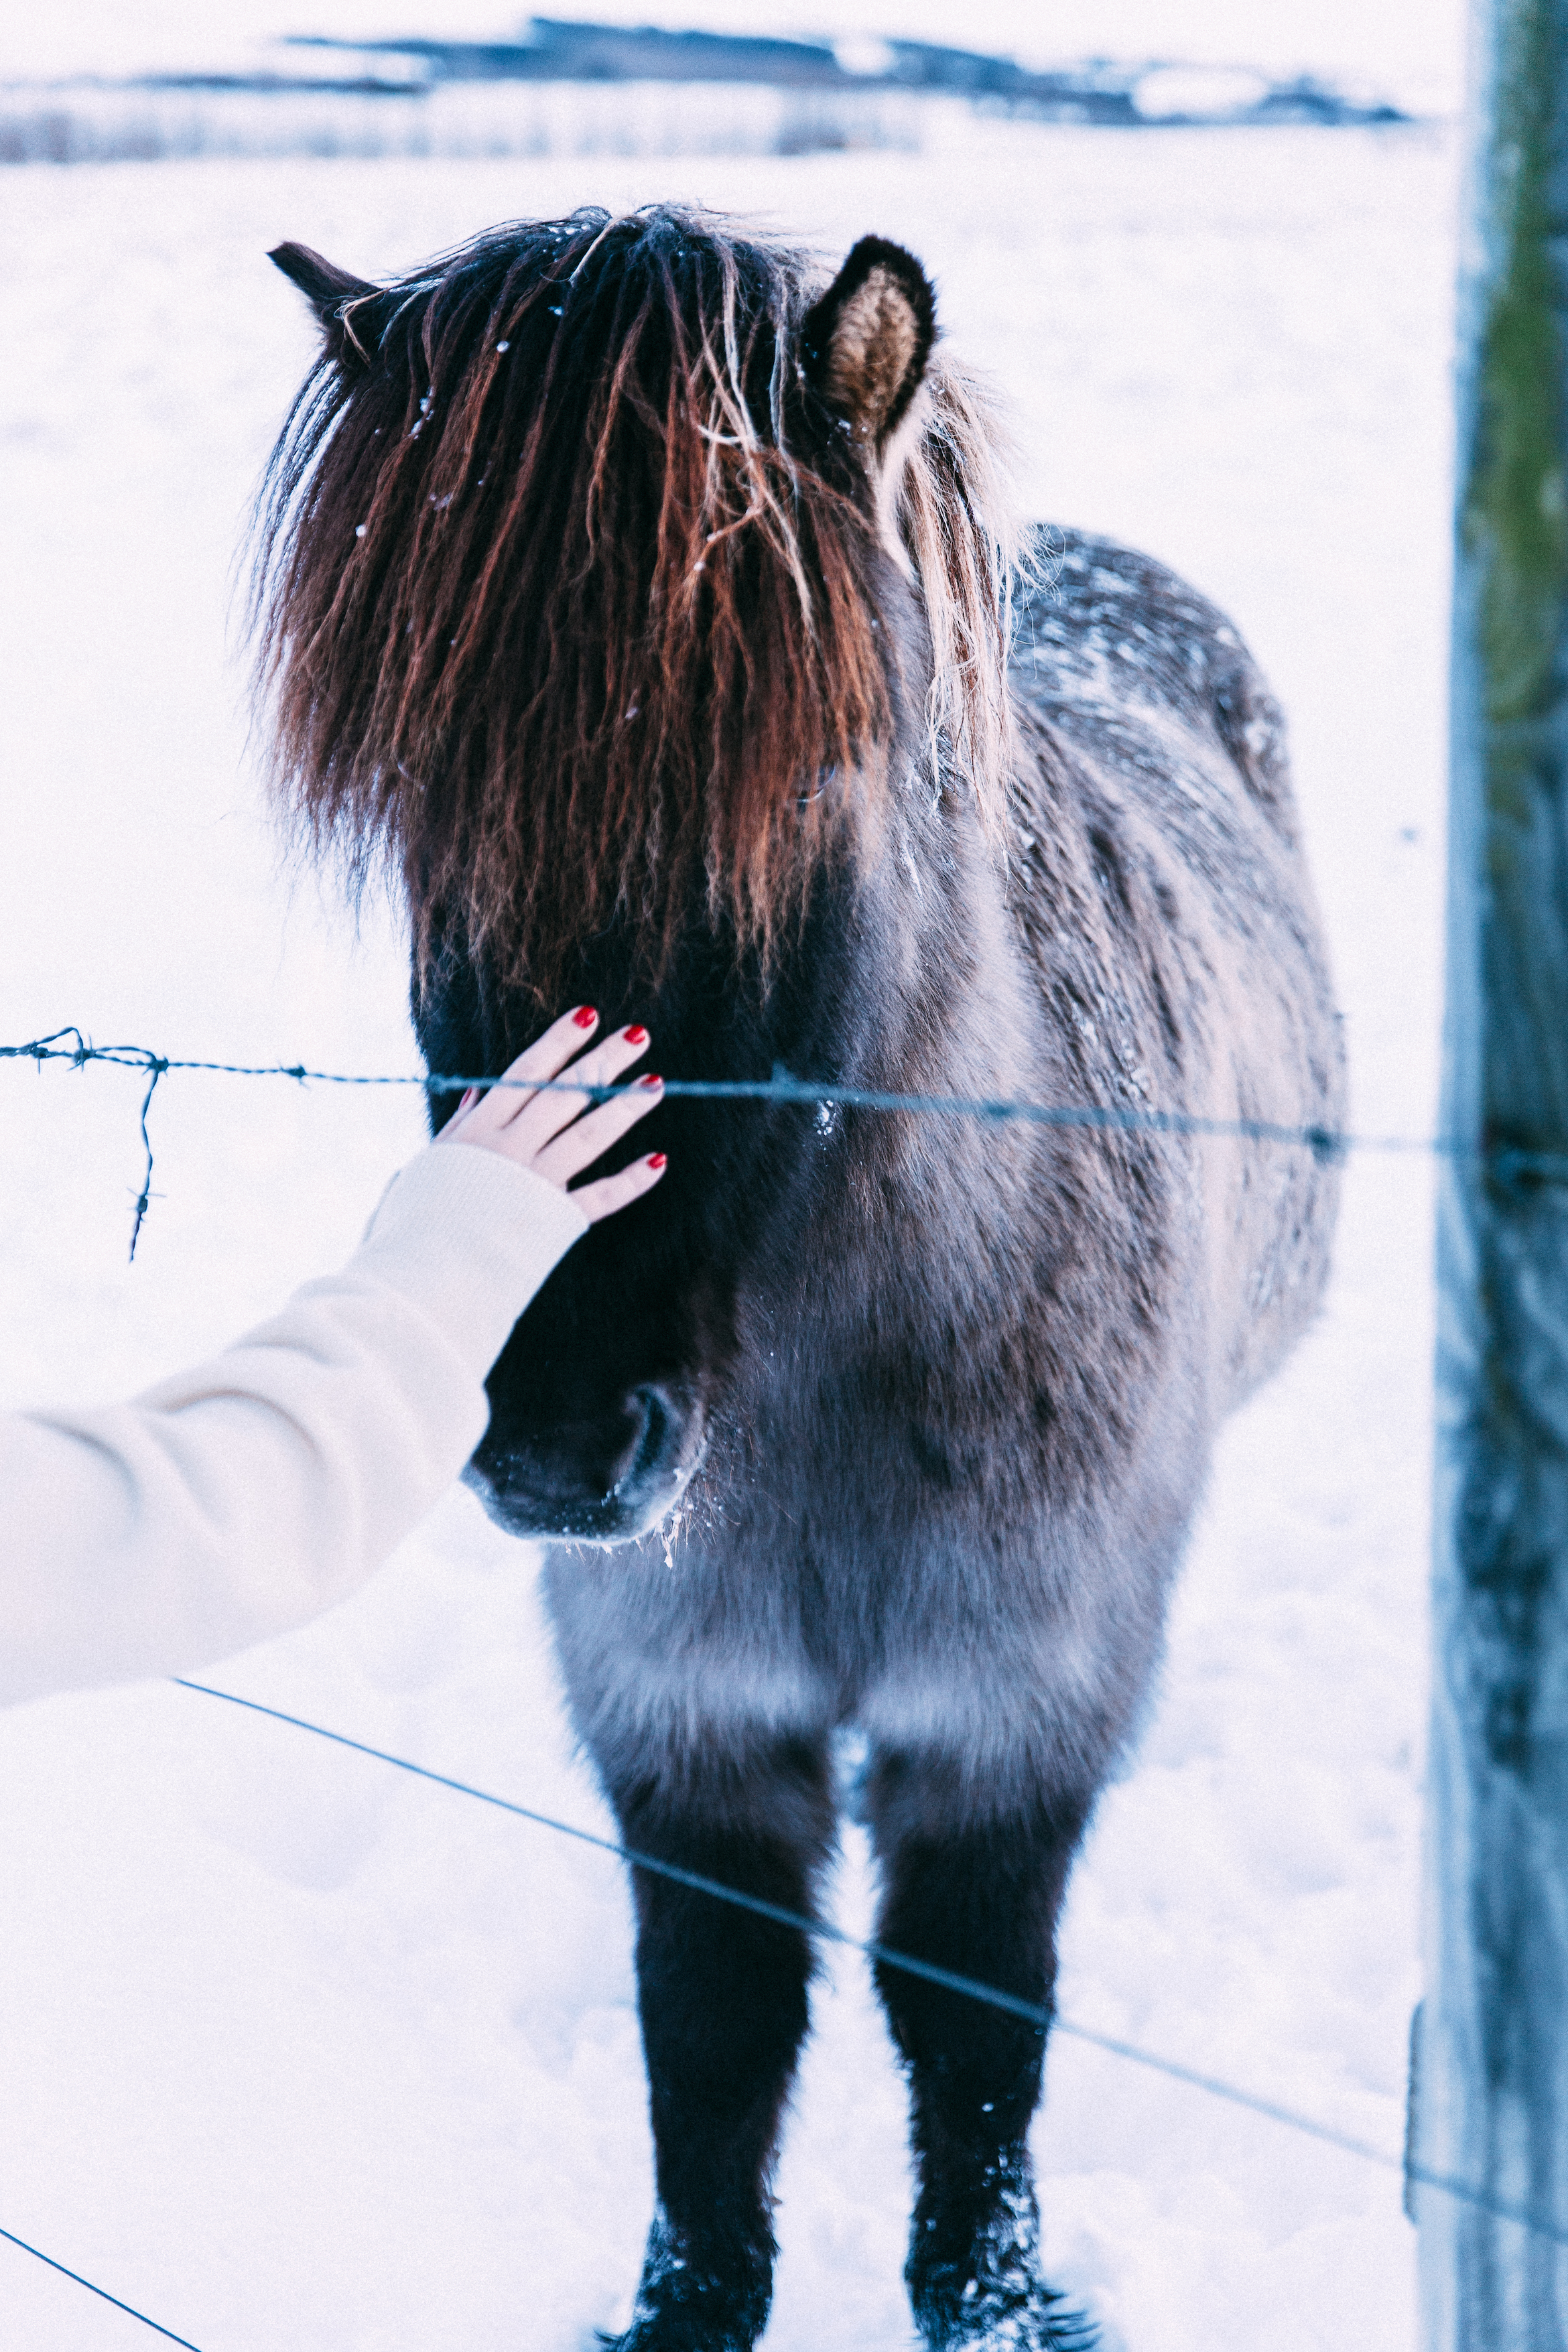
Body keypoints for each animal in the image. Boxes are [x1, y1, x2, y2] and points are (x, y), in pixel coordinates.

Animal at [255, 205, 1343, 2351]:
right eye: (422, 824)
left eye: (813, 798)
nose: (554, 1436)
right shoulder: (683, 1707)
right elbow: (715, 2021)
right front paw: (688, 2298)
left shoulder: (1011, 1709)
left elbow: (969, 2021)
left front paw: (990, 2295)